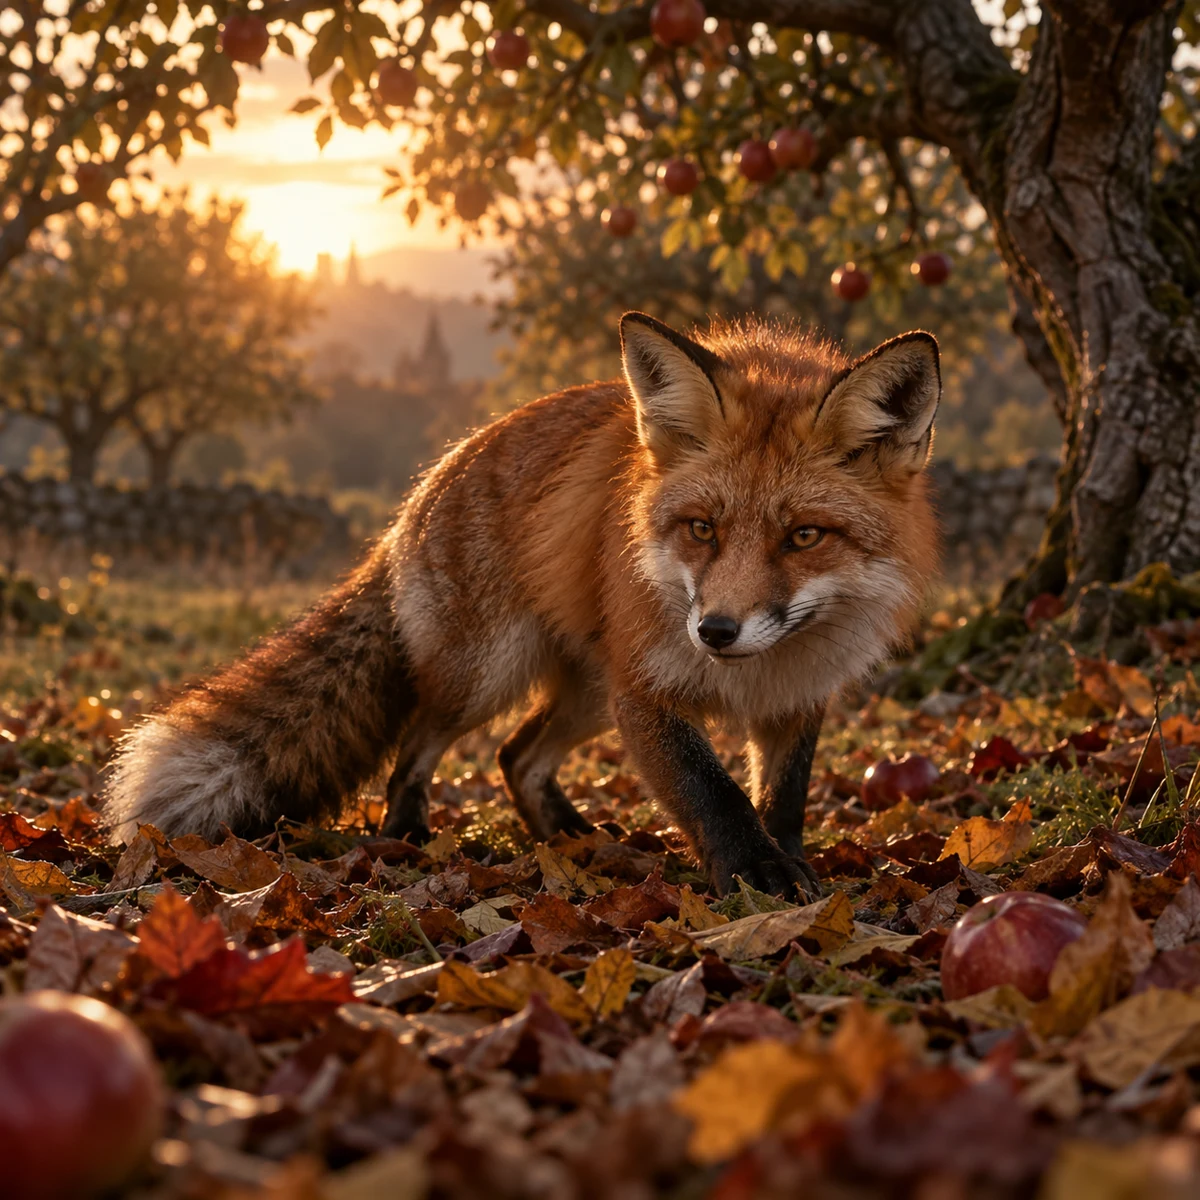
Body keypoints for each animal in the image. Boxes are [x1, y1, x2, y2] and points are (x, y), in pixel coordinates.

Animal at [104, 312, 940, 896]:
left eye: (804, 536)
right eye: (702, 528)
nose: (716, 631)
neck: (756, 673)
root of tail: (418, 496)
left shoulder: (795, 700)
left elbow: (782, 800)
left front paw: (788, 861)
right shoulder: (650, 692)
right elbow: (715, 794)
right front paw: (756, 876)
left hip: (591, 696)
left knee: (517, 755)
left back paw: (571, 837)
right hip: (491, 677)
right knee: (418, 745)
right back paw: (407, 834)